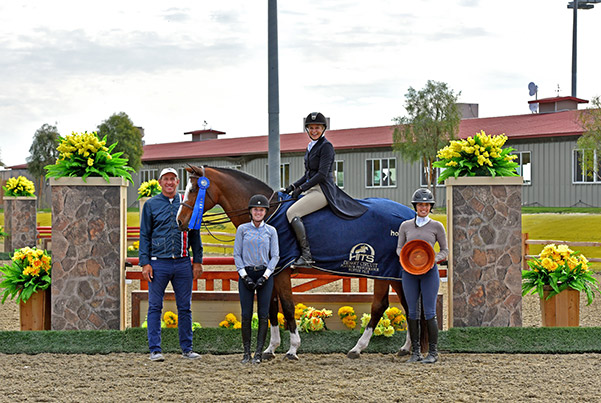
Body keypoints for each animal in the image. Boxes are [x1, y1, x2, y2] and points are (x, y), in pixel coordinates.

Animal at [176, 166, 424, 362]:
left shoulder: (282, 271)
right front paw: (270, 349)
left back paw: (358, 348)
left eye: (194, 189)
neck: (267, 214)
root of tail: (409, 214)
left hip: (381, 271)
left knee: (380, 306)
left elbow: (287, 306)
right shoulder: (273, 272)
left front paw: (292, 349)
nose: (180, 221)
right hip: (394, 274)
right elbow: (272, 307)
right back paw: (405, 348)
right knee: (407, 304)